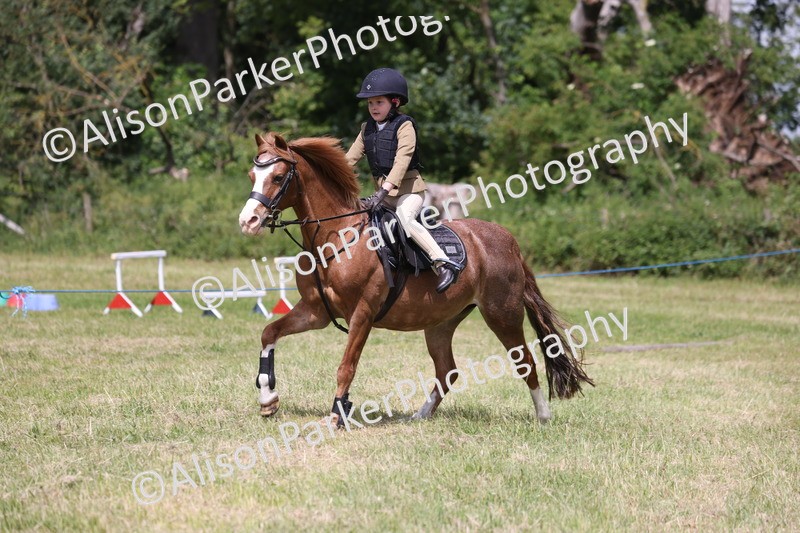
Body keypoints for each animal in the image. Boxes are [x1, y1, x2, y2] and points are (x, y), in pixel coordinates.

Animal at [237, 132, 592, 426]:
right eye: (253, 176)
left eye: (278, 177)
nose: (248, 221)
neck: (336, 237)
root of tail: (508, 240)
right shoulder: (315, 311)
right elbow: (269, 333)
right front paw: (268, 399)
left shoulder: (362, 314)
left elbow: (346, 366)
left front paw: (337, 415)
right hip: (441, 322)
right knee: (447, 371)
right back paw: (420, 415)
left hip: (502, 314)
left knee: (525, 361)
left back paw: (543, 416)